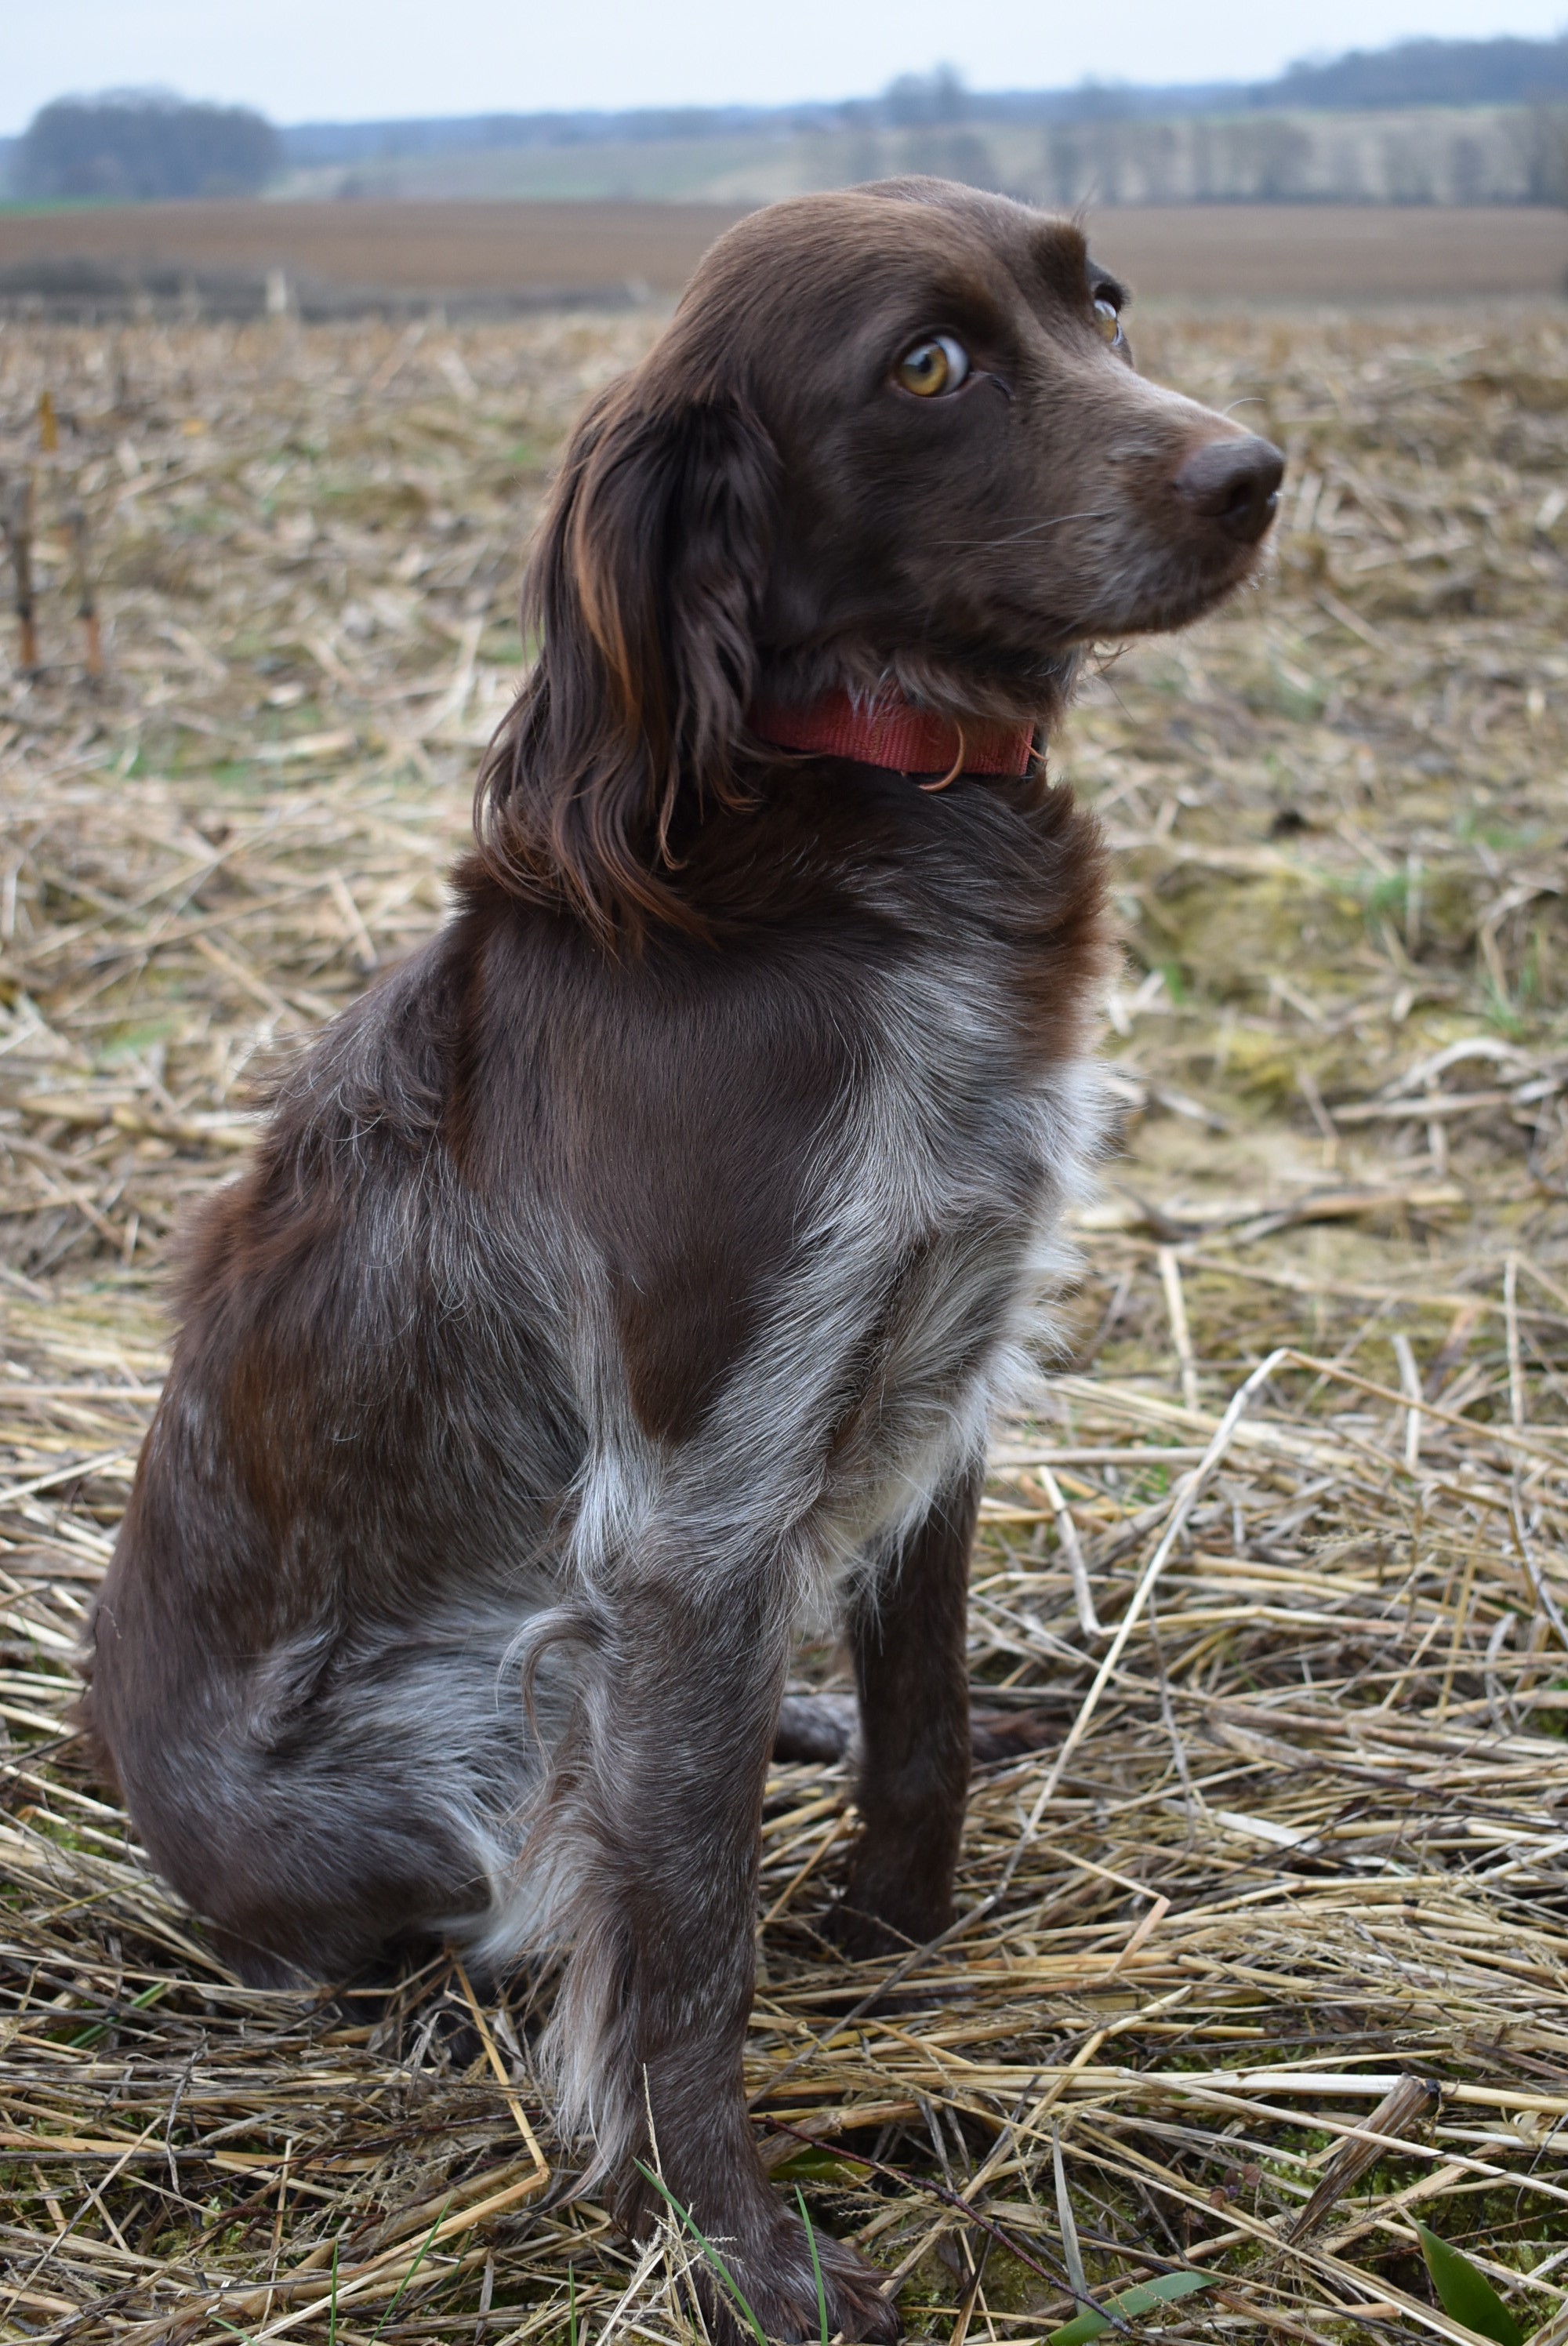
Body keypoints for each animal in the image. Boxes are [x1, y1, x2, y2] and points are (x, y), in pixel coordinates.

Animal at [85, 178, 1276, 2327]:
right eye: (925, 365)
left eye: (1102, 297)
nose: (1251, 474)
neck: (882, 815)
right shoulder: (692, 1504)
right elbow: (680, 1930)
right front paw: (734, 2240)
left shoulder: (935, 1368)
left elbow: (915, 1726)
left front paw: (892, 1930)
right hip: (474, 1737)